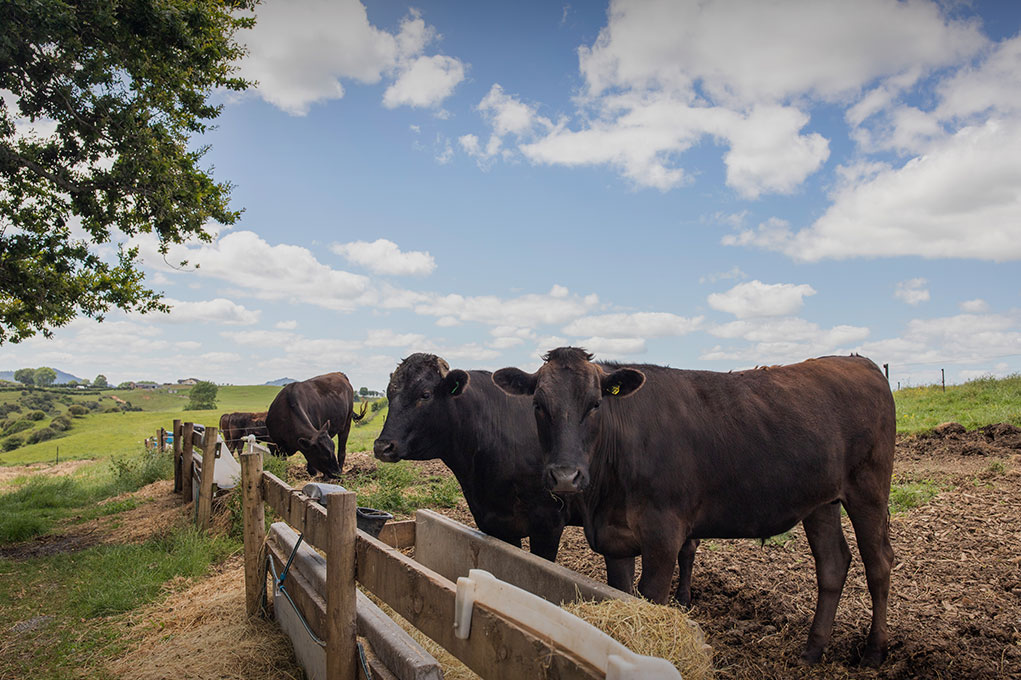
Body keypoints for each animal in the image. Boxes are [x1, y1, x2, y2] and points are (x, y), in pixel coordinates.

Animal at [494, 347, 894, 665]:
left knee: (878, 563)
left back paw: (875, 652)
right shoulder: (615, 540)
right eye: (538, 405)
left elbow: (651, 596)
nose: (565, 476)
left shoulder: (663, 535)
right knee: (833, 564)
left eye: (595, 404)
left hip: (869, 488)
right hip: (821, 502)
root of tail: (860, 361)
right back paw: (812, 650)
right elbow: (620, 593)